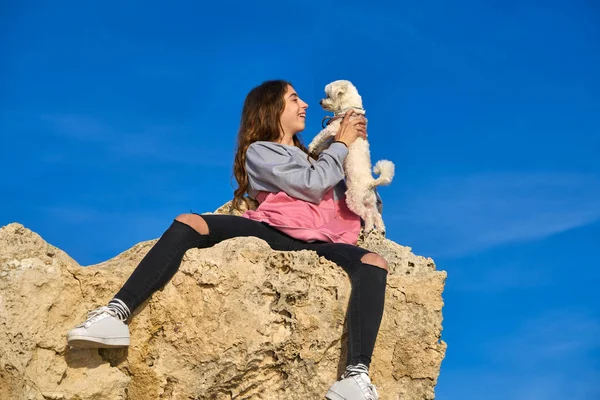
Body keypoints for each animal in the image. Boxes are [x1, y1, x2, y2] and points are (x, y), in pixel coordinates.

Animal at [310, 79, 394, 233]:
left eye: (328, 95)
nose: (320, 101)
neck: (350, 110)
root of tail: (370, 183)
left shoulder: (333, 128)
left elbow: (320, 136)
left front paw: (311, 146)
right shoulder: (334, 137)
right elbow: (325, 144)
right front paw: (317, 150)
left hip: (353, 199)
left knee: (367, 214)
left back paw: (367, 229)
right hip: (370, 202)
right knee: (376, 215)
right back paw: (380, 229)